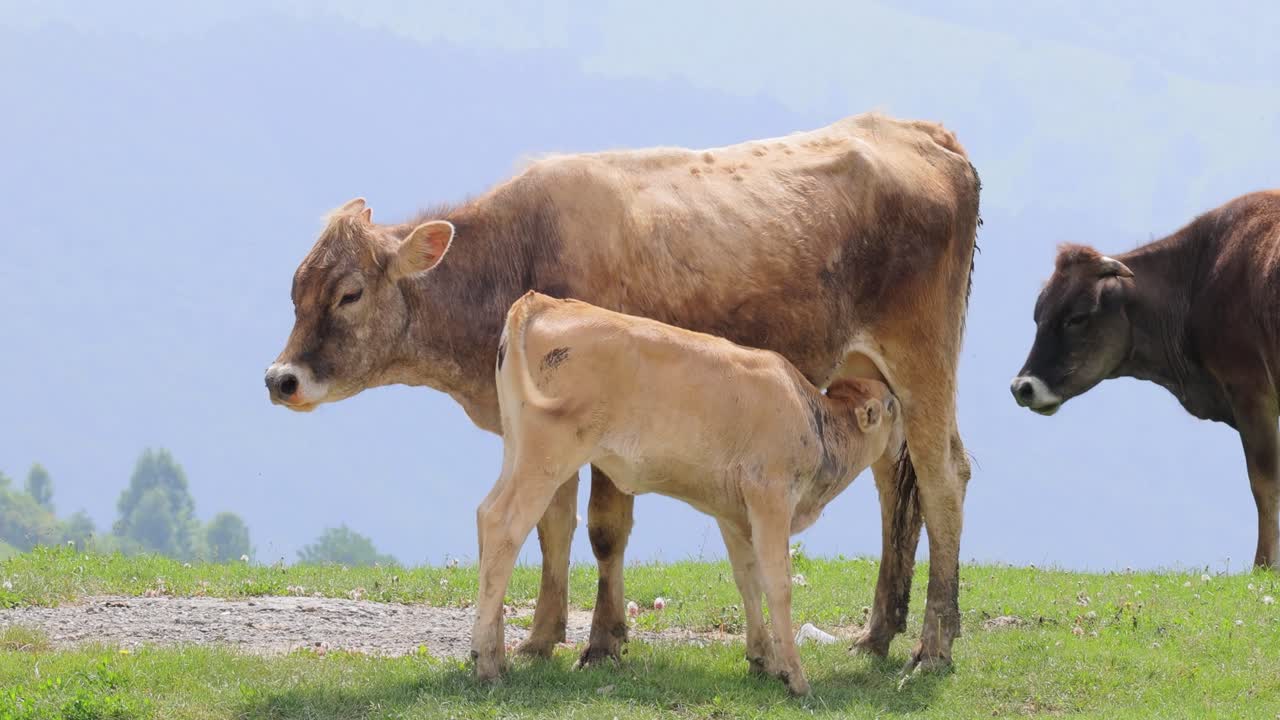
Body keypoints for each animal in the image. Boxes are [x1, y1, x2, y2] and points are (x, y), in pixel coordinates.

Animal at [473, 291, 901, 695]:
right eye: (893, 408)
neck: (813, 420)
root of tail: (544, 302)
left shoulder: (733, 512)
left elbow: (748, 579)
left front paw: (762, 659)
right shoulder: (771, 497)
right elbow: (778, 584)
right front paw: (794, 676)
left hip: (517, 450)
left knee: (485, 515)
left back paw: (495, 654)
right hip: (546, 458)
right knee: (503, 524)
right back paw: (486, 665)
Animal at [1010, 190, 1280, 569]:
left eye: (1076, 318)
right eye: (1038, 315)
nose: (1023, 387)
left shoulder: (1249, 388)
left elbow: (1264, 482)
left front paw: (1264, 565)